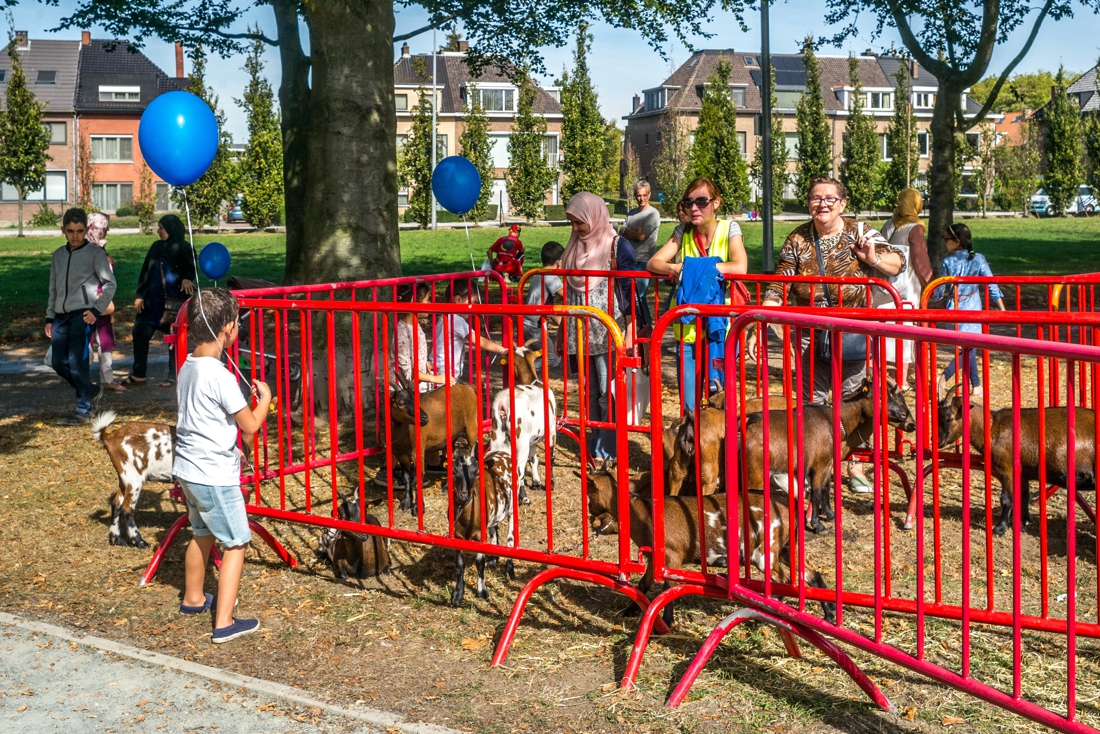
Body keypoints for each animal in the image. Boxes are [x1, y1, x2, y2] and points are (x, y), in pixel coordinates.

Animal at [92, 411, 173, 548]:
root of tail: (110, 436)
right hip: (134, 479)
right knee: (127, 509)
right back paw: (139, 541)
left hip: (124, 478)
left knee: (116, 504)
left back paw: (116, 539)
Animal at [448, 440, 517, 607]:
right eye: (453, 471)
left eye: (477, 473)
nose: (463, 495)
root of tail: (502, 452)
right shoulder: (457, 536)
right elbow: (460, 565)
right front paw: (457, 595)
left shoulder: (479, 536)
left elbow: (479, 562)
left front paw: (482, 592)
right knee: (494, 530)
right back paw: (493, 560)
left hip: (512, 508)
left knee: (510, 539)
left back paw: (509, 570)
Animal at [743, 378, 915, 534]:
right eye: (880, 397)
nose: (908, 421)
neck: (835, 420)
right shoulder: (820, 464)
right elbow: (817, 491)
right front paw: (817, 524)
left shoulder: (828, 463)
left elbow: (826, 486)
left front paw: (829, 513)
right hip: (755, 475)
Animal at [937, 396, 1100, 534]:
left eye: (949, 418)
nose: (938, 441)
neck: (992, 428)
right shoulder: (1023, 474)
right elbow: (1024, 497)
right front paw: (1023, 523)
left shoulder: (1006, 471)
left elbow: (1006, 499)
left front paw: (1000, 528)